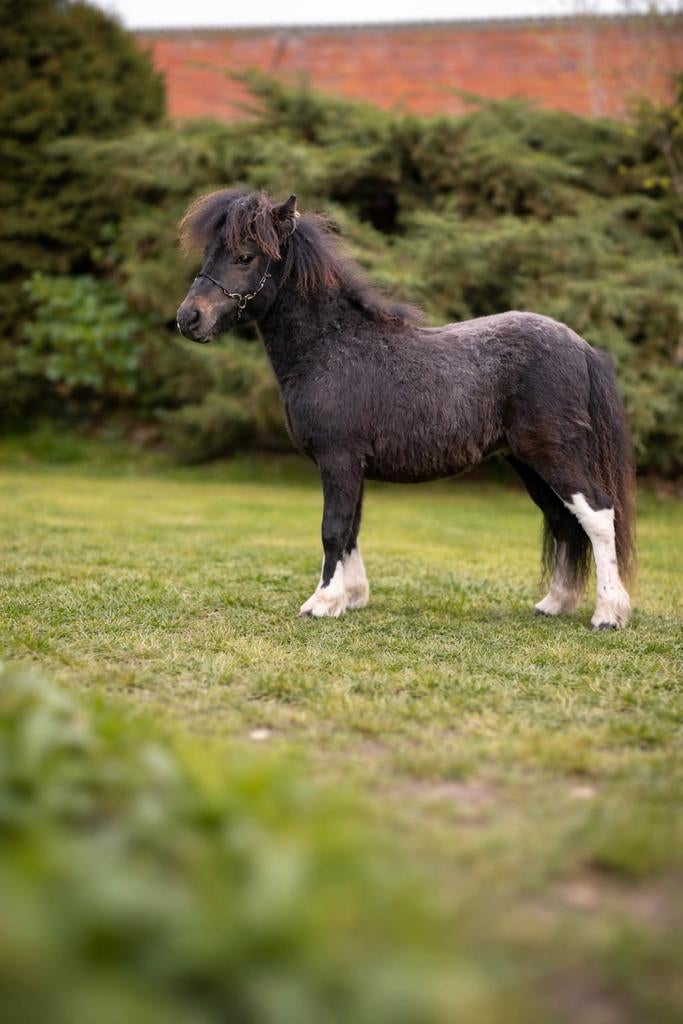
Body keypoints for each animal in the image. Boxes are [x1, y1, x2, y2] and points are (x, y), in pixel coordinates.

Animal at [176, 189, 635, 629]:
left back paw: (608, 614)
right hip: (528, 464)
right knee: (562, 521)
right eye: (209, 252)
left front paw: (322, 603)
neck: (331, 347)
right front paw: (351, 598)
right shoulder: (352, 465)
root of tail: (581, 347)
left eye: (244, 256)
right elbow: (352, 528)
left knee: (597, 515)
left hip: (554, 455)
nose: (189, 318)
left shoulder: (338, 458)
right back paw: (555, 604)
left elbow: (333, 529)